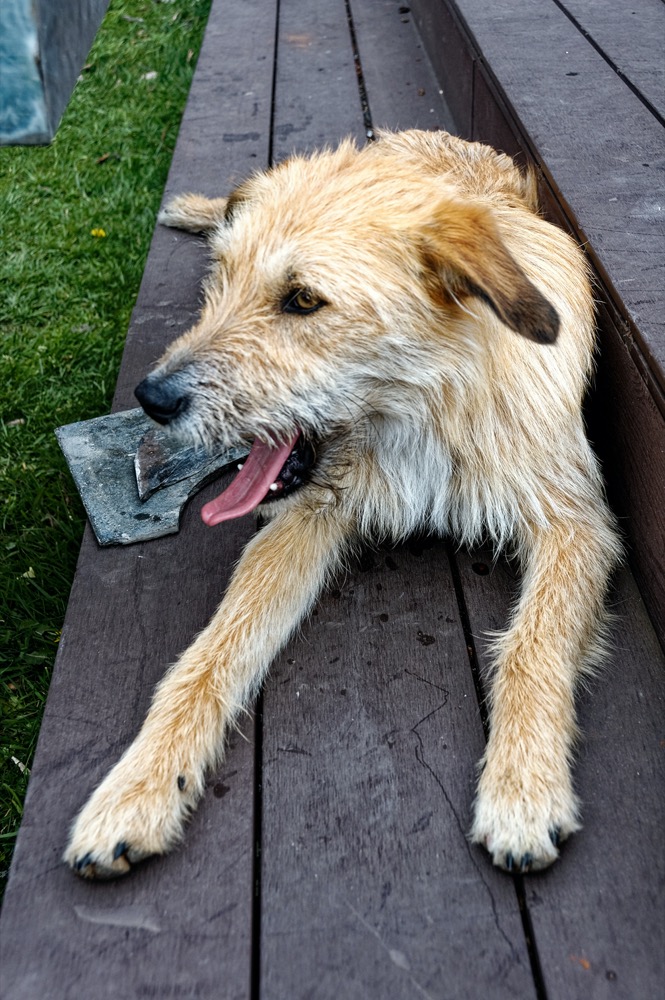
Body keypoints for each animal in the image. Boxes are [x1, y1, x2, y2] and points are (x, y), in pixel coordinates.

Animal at [65, 131, 620, 876]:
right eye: (223, 279)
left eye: (303, 300)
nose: (152, 400)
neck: (426, 410)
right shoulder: (307, 517)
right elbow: (212, 651)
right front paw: (138, 787)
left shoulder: (575, 521)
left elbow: (535, 643)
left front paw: (522, 789)